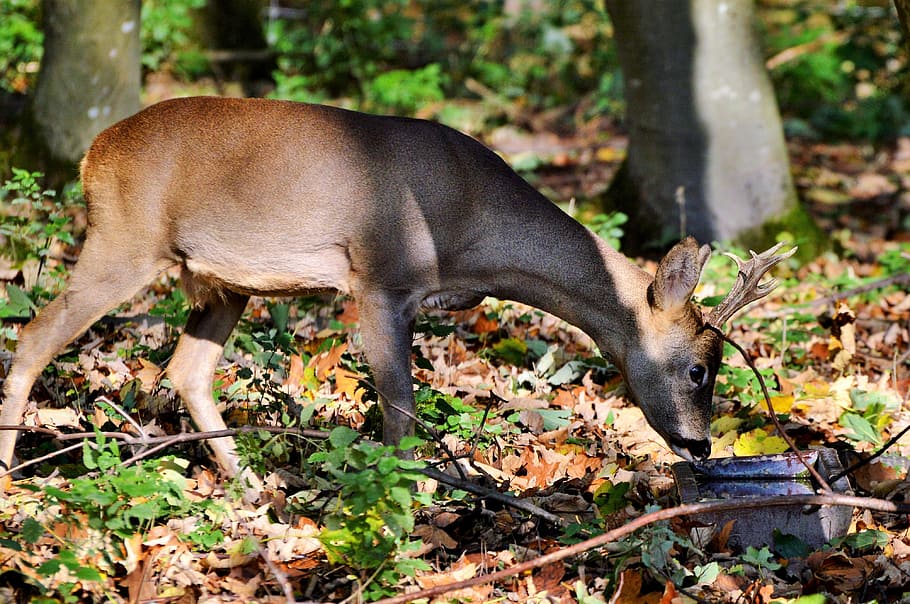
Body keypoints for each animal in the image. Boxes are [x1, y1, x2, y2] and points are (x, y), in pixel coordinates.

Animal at [0, 97, 796, 487]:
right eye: (698, 369)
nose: (699, 445)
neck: (472, 229)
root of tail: (92, 155)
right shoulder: (382, 279)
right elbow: (401, 415)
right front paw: (402, 509)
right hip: (124, 239)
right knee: (33, 336)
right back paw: (12, 476)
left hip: (222, 282)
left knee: (185, 371)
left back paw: (252, 488)